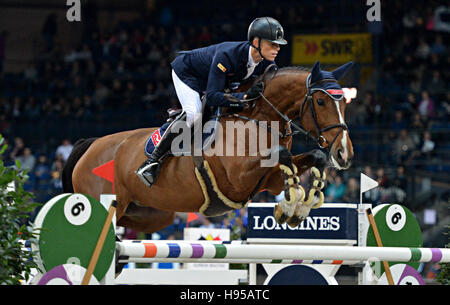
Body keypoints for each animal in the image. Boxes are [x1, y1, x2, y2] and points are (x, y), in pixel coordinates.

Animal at [61, 61, 354, 233]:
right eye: (321, 102)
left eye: (346, 102)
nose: (344, 153)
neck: (257, 118)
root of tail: (90, 145)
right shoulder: (237, 179)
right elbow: (282, 155)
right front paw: (292, 202)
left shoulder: (268, 181)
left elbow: (311, 157)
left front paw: (300, 205)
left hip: (152, 215)